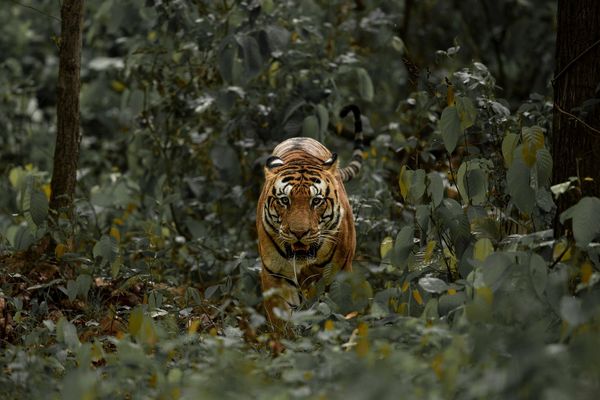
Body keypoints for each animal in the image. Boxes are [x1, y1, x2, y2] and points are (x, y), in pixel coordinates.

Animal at [255, 104, 364, 336]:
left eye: (316, 201)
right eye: (284, 200)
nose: (299, 233)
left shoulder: (337, 274)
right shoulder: (275, 276)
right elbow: (281, 319)